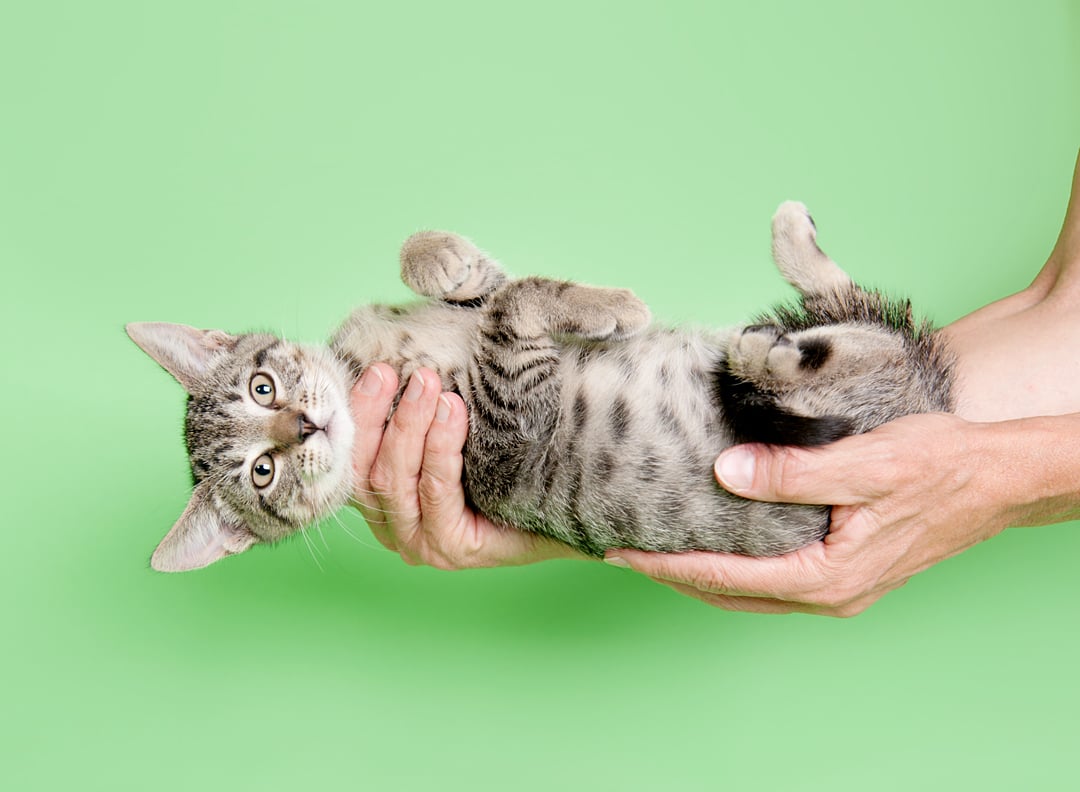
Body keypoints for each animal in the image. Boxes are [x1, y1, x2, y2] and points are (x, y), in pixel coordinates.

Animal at [128, 202, 954, 570]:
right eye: (261, 473)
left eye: (262, 388)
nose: (303, 426)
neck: (366, 370)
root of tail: (936, 401)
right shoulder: (508, 439)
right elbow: (516, 304)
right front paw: (617, 307)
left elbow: (489, 282)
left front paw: (445, 257)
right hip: (846, 406)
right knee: (863, 357)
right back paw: (770, 351)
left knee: (860, 315)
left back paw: (792, 241)